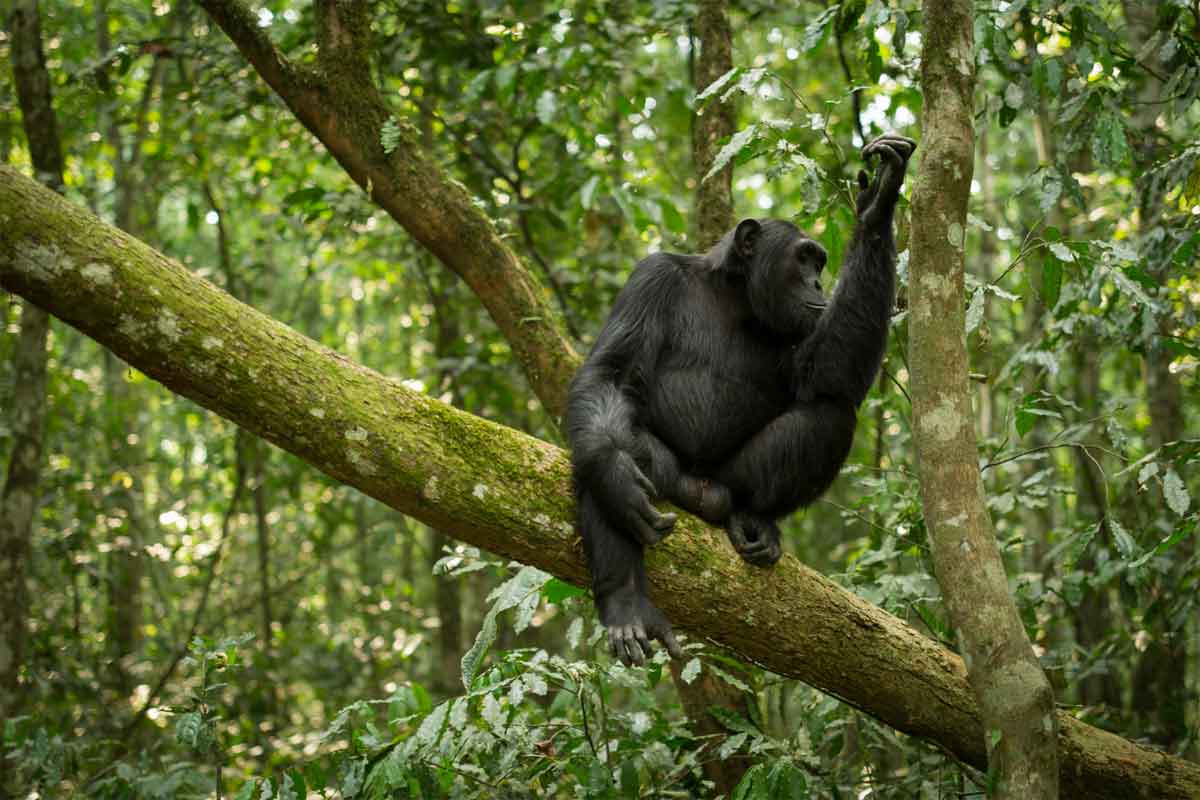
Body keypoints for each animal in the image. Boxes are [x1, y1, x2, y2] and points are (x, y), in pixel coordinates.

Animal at [566, 134, 912, 666]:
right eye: (804, 258)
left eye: (819, 262)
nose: (818, 282)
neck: (735, 293)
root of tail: (702, 491)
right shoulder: (653, 277)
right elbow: (611, 375)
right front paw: (615, 475)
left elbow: (829, 375)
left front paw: (877, 205)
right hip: (671, 480)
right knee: (606, 445)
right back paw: (625, 601)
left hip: (731, 482)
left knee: (831, 413)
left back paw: (754, 519)